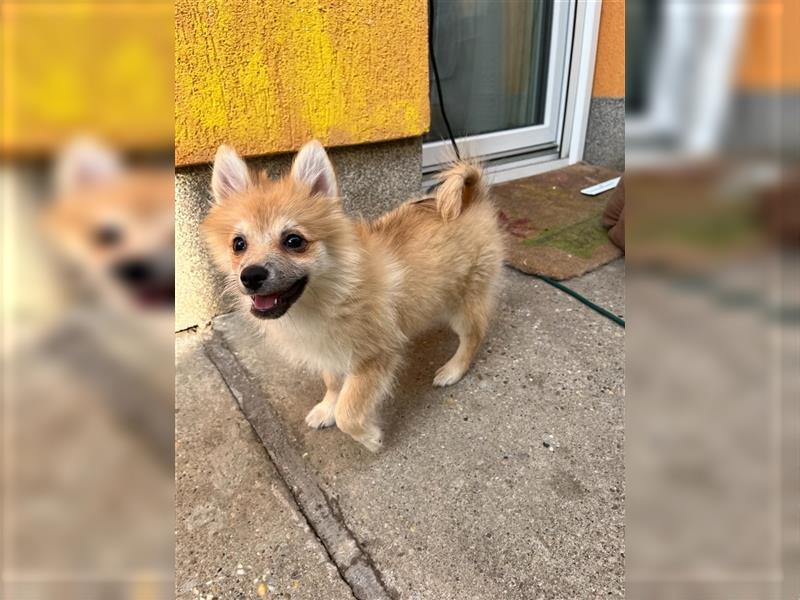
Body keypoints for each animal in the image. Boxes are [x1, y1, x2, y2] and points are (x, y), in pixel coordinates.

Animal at [202, 141, 500, 450]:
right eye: (238, 244)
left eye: (294, 241)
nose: (250, 276)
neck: (331, 294)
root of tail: (473, 197)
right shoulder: (328, 350)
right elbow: (333, 383)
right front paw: (327, 408)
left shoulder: (375, 355)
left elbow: (349, 410)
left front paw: (369, 437)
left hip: (464, 302)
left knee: (473, 336)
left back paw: (453, 369)